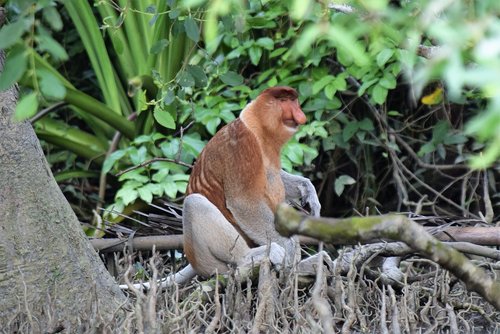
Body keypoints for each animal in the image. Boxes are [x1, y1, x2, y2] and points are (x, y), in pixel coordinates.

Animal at [182, 86, 322, 276]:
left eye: (294, 101)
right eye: (284, 101)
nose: (300, 115)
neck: (259, 129)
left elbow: (276, 176)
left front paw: (309, 192)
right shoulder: (242, 146)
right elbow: (244, 202)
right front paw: (292, 251)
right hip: (207, 262)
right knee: (193, 203)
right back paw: (253, 255)